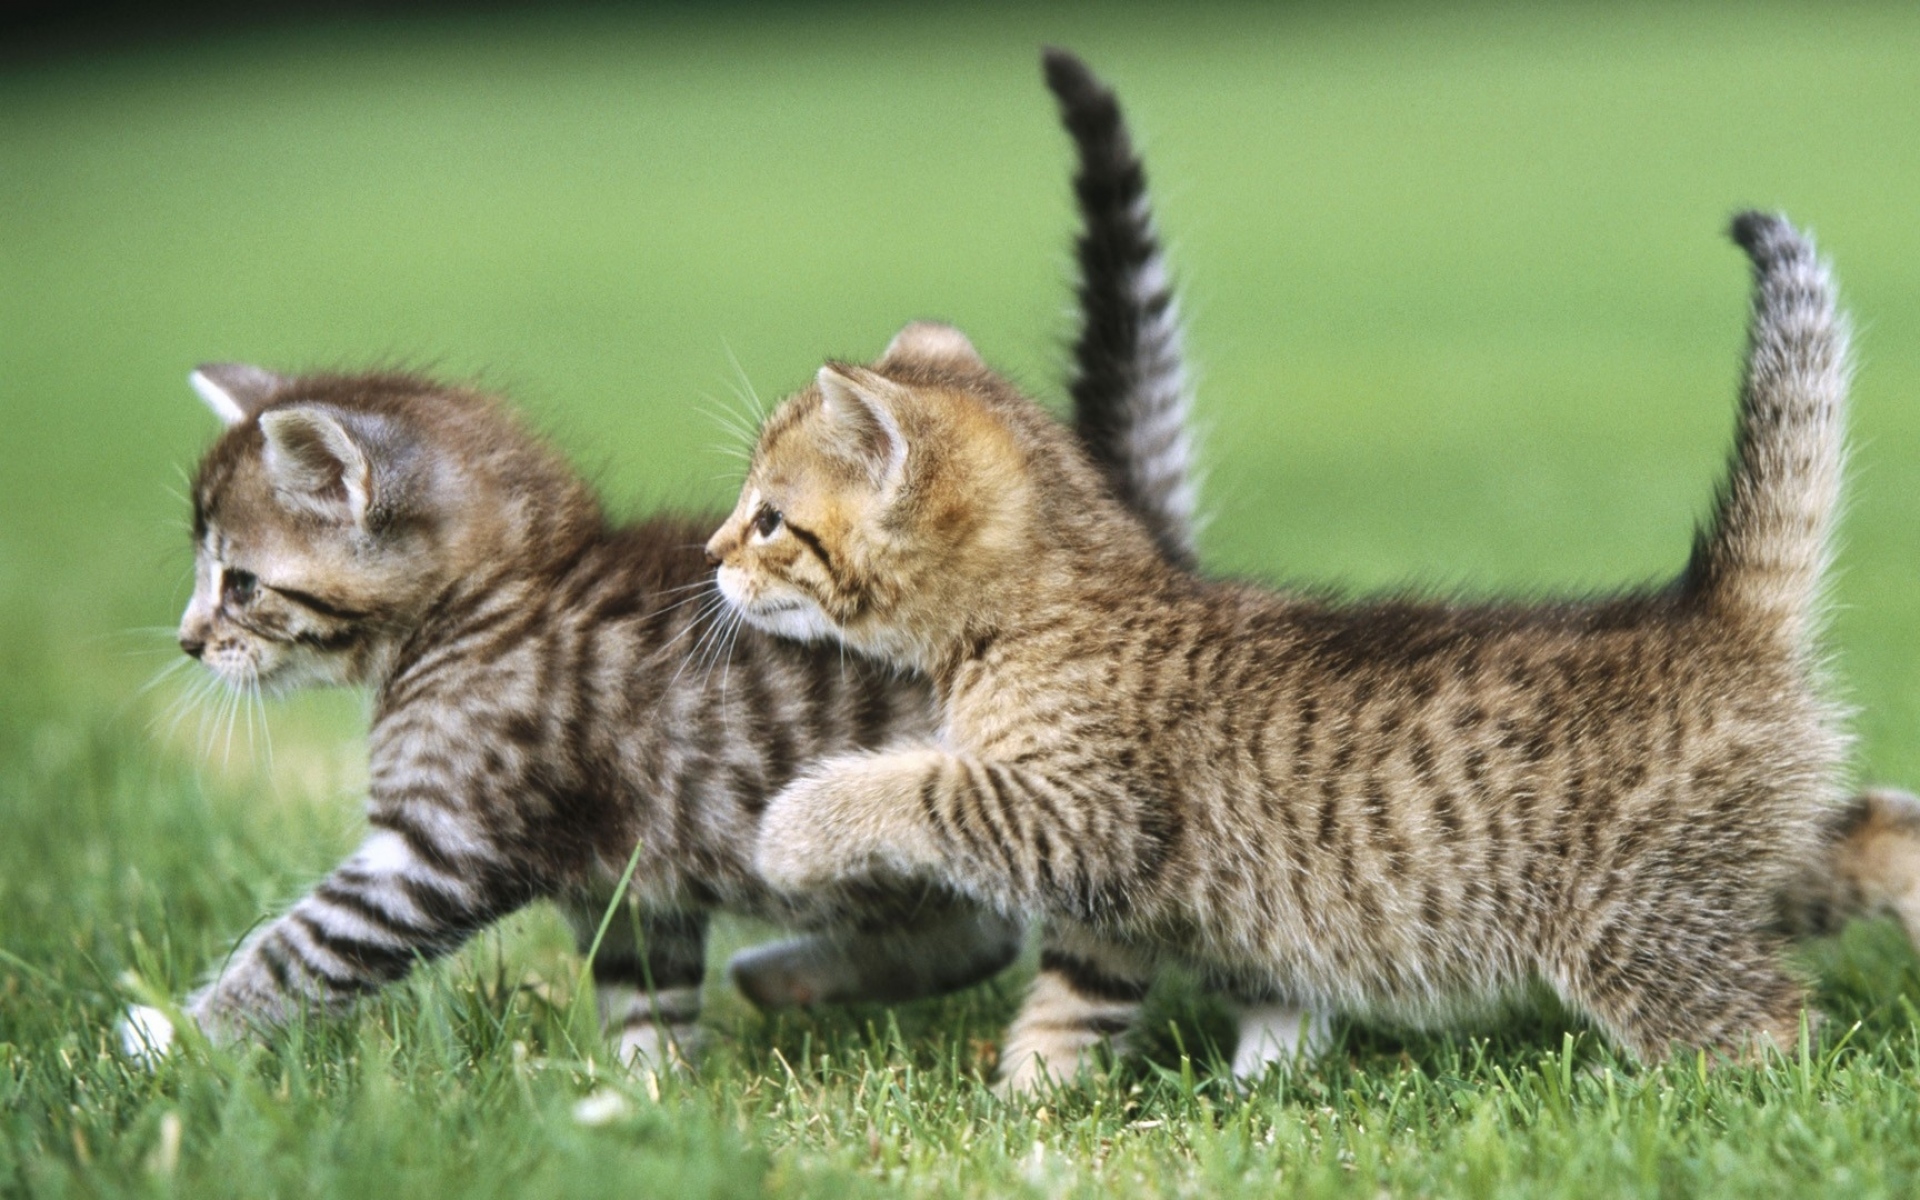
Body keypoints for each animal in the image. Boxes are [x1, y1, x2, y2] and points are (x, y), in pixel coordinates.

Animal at [116, 56, 1198, 1067]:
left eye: (239, 583)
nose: (188, 641)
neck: (494, 605)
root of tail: (1136, 535)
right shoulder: (629, 880)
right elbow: (644, 990)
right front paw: (653, 1094)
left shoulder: (438, 851)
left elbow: (298, 950)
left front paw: (170, 1038)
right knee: (969, 929)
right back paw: (785, 978)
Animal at [714, 210, 1850, 1090]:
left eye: (770, 519)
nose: (715, 554)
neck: (1042, 613)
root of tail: (1713, 612)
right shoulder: (1108, 898)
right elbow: (1079, 993)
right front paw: (1038, 1099)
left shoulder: (1085, 812)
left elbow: (917, 786)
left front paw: (796, 829)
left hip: (1637, 925)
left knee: (1776, 1031)